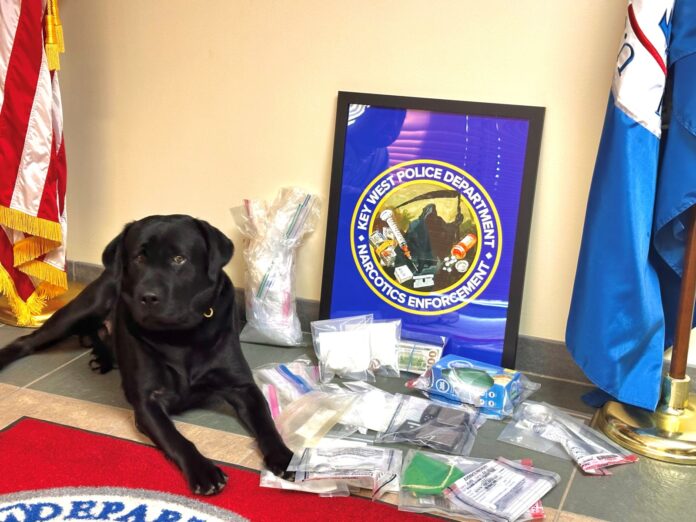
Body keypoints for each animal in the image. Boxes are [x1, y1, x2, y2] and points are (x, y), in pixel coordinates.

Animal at [0, 213, 294, 494]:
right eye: (139, 258)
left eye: (179, 259)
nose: (148, 297)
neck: (181, 335)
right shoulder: (147, 401)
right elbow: (177, 438)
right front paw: (204, 471)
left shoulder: (242, 386)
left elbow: (266, 423)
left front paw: (286, 458)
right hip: (82, 309)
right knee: (27, 341)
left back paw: (102, 358)